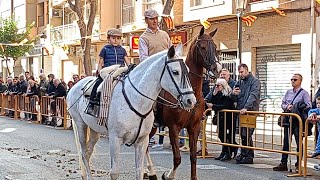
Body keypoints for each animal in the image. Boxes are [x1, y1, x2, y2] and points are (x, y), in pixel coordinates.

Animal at [67, 45, 196, 180]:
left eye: (187, 70)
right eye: (175, 72)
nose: (191, 101)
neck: (135, 99)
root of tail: (75, 85)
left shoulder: (142, 141)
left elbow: (139, 170)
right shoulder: (115, 139)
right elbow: (114, 172)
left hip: (94, 130)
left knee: (88, 152)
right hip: (80, 125)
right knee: (83, 153)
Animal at [146, 26, 221, 180]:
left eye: (215, 47)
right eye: (203, 47)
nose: (217, 69)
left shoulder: (194, 127)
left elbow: (193, 156)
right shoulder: (174, 127)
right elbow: (177, 158)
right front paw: (168, 175)